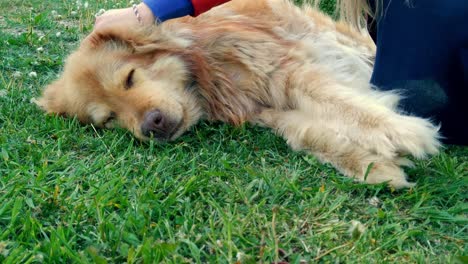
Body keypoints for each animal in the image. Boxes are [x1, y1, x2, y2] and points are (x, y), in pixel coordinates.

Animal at [35, 0, 438, 188]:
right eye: (109, 119)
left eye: (129, 79)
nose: (152, 126)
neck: (207, 77)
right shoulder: (266, 109)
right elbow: (309, 133)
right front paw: (374, 166)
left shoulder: (286, 71)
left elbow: (342, 103)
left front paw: (404, 133)